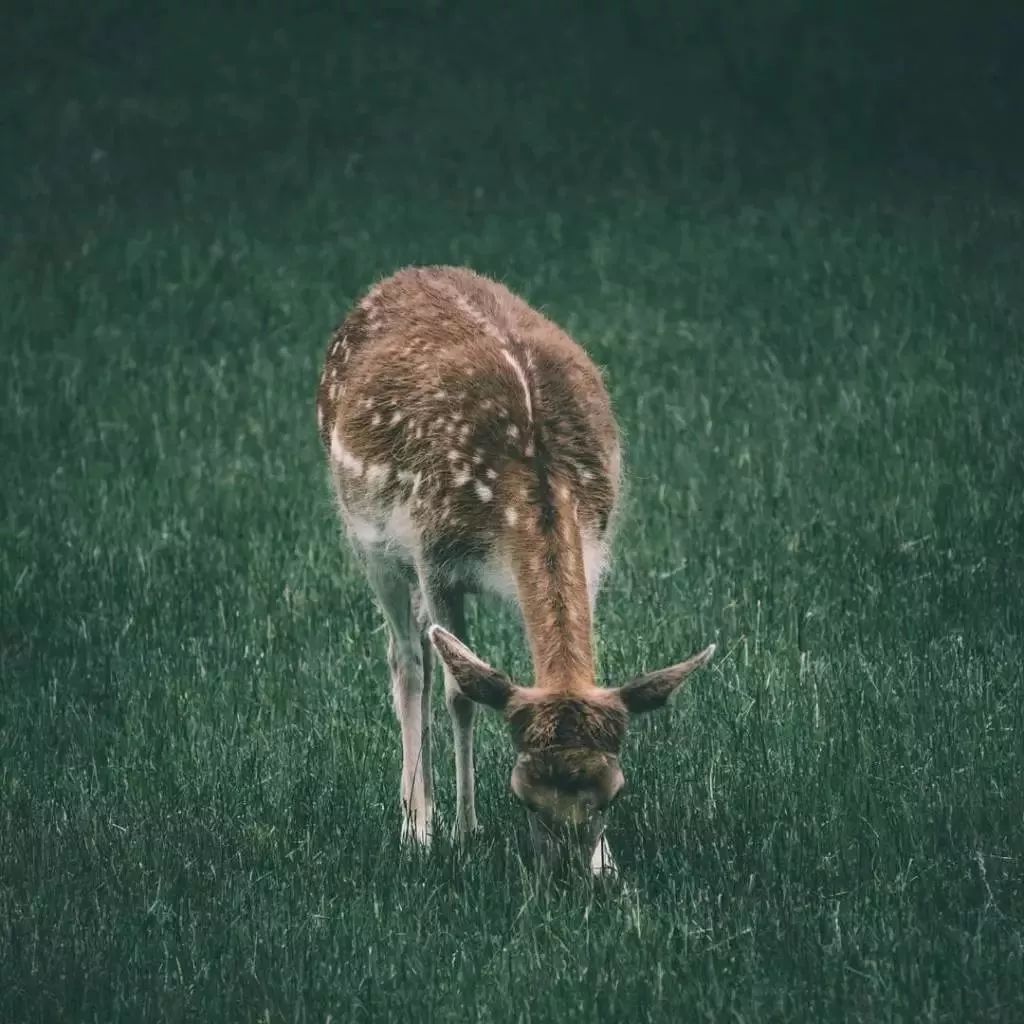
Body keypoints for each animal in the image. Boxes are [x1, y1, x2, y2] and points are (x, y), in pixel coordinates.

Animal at [315, 264, 716, 872]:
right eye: (522, 794)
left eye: (615, 791)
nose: (573, 874)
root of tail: (402, 276)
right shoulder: (436, 560)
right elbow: (460, 695)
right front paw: (464, 831)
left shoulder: (594, 553)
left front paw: (607, 860)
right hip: (369, 540)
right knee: (407, 662)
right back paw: (417, 824)